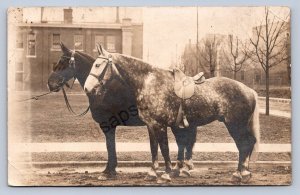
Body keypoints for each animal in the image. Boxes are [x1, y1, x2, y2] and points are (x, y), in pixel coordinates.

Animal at [84, 44, 260, 183]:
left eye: (98, 65)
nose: (87, 88)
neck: (149, 83)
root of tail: (249, 90)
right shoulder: (150, 125)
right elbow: (154, 148)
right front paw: (152, 172)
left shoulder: (160, 125)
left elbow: (164, 148)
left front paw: (166, 174)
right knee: (248, 143)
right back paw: (244, 173)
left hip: (235, 125)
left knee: (244, 144)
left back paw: (239, 174)